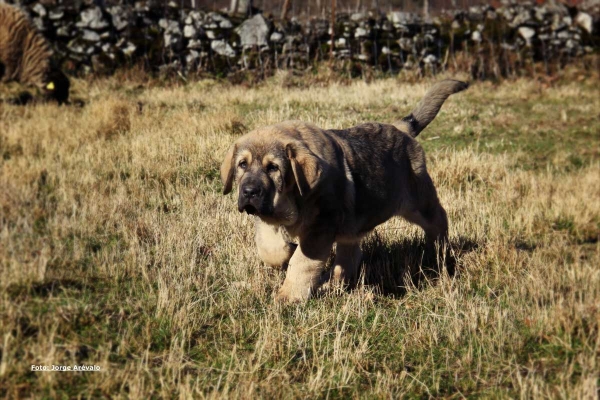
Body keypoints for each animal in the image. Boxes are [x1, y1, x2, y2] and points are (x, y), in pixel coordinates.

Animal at [220, 79, 468, 302]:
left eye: (273, 168)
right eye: (242, 164)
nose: (249, 191)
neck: (293, 200)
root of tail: (401, 129)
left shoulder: (319, 228)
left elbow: (302, 262)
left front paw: (288, 295)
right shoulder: (265, 214)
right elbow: (269, 246)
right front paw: (285, 253)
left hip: (417, 201)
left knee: (438, 220)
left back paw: (438, 252)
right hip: (354, 220)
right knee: (350, 253)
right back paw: (335, 283)